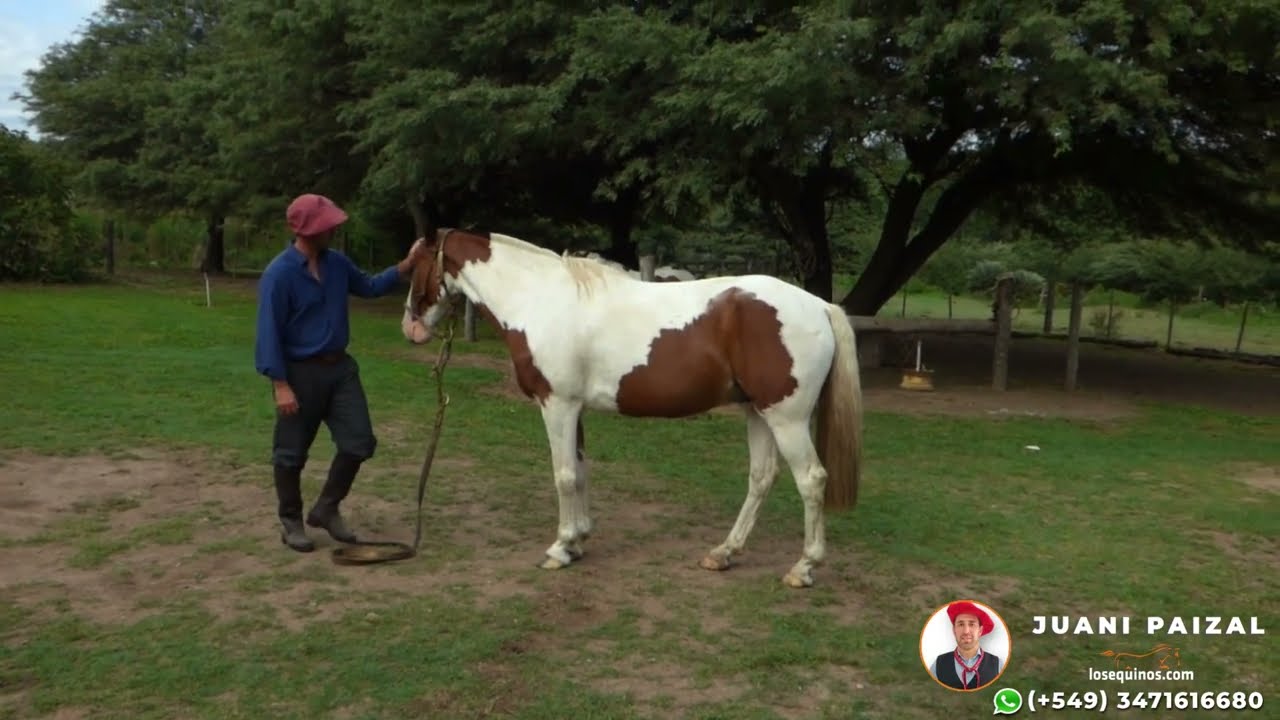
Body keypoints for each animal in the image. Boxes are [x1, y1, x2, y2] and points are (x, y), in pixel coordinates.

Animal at [402, 229, 863, 588]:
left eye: (412, 265)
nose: (411, 327)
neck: (540, 300)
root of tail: (819, 305)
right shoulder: (575, 409)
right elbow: (581, 470)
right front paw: (579, 540)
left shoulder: (557, 404)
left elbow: (564, 475)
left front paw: (560, 547)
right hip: (759, 413)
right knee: (761, 478)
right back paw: (724, 552)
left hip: (787, 418)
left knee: (811, 480)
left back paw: (804, 567)